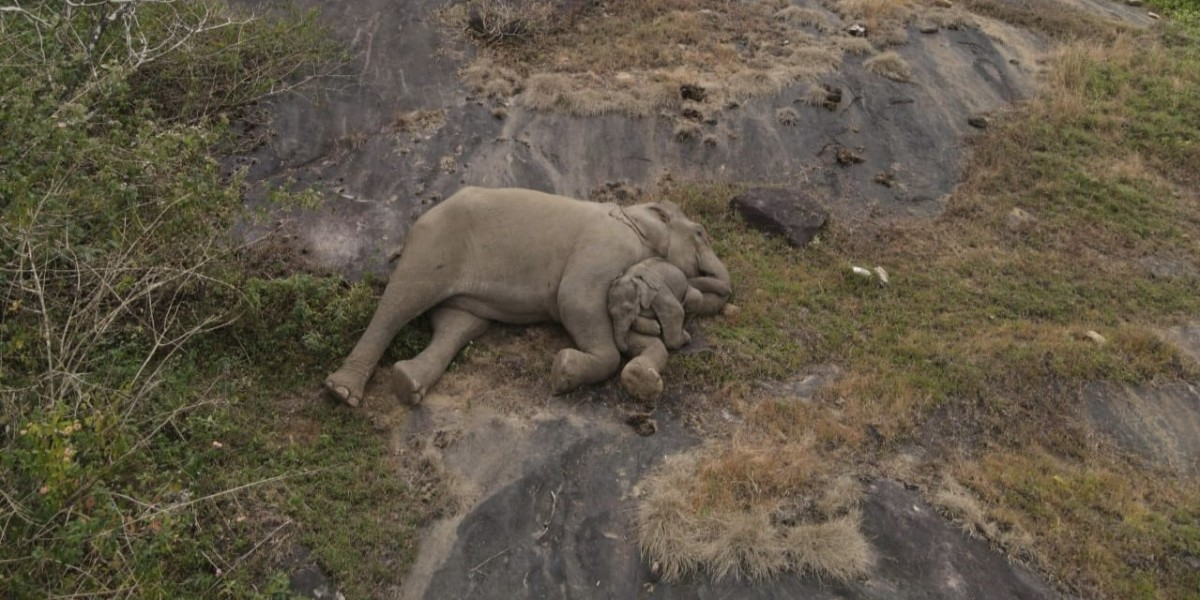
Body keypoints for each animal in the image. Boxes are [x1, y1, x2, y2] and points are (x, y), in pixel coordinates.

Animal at [321, 186, 729, 408]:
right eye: (700, 233)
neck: (634, 213)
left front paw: (642, 375)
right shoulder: (606, 245)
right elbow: (576, 300)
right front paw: (563, 372)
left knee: (458, 325)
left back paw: (408, 384)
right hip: (433, 244)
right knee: (399, 302)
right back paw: (343, 392)